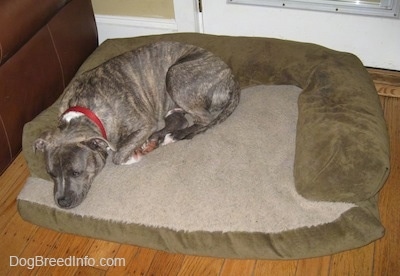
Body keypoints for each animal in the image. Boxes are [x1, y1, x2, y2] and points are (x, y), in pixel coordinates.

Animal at [33, 41, 238, 208]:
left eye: (76, 172)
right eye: (51, 174)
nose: (62, 202)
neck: (84, 110)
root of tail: (231, 76)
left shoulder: (145, 124)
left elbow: (118, 155)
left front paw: (133, 155)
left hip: (174, 75)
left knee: (204, 120)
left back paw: (174, 136)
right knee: (179, 119)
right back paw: (160, 137)